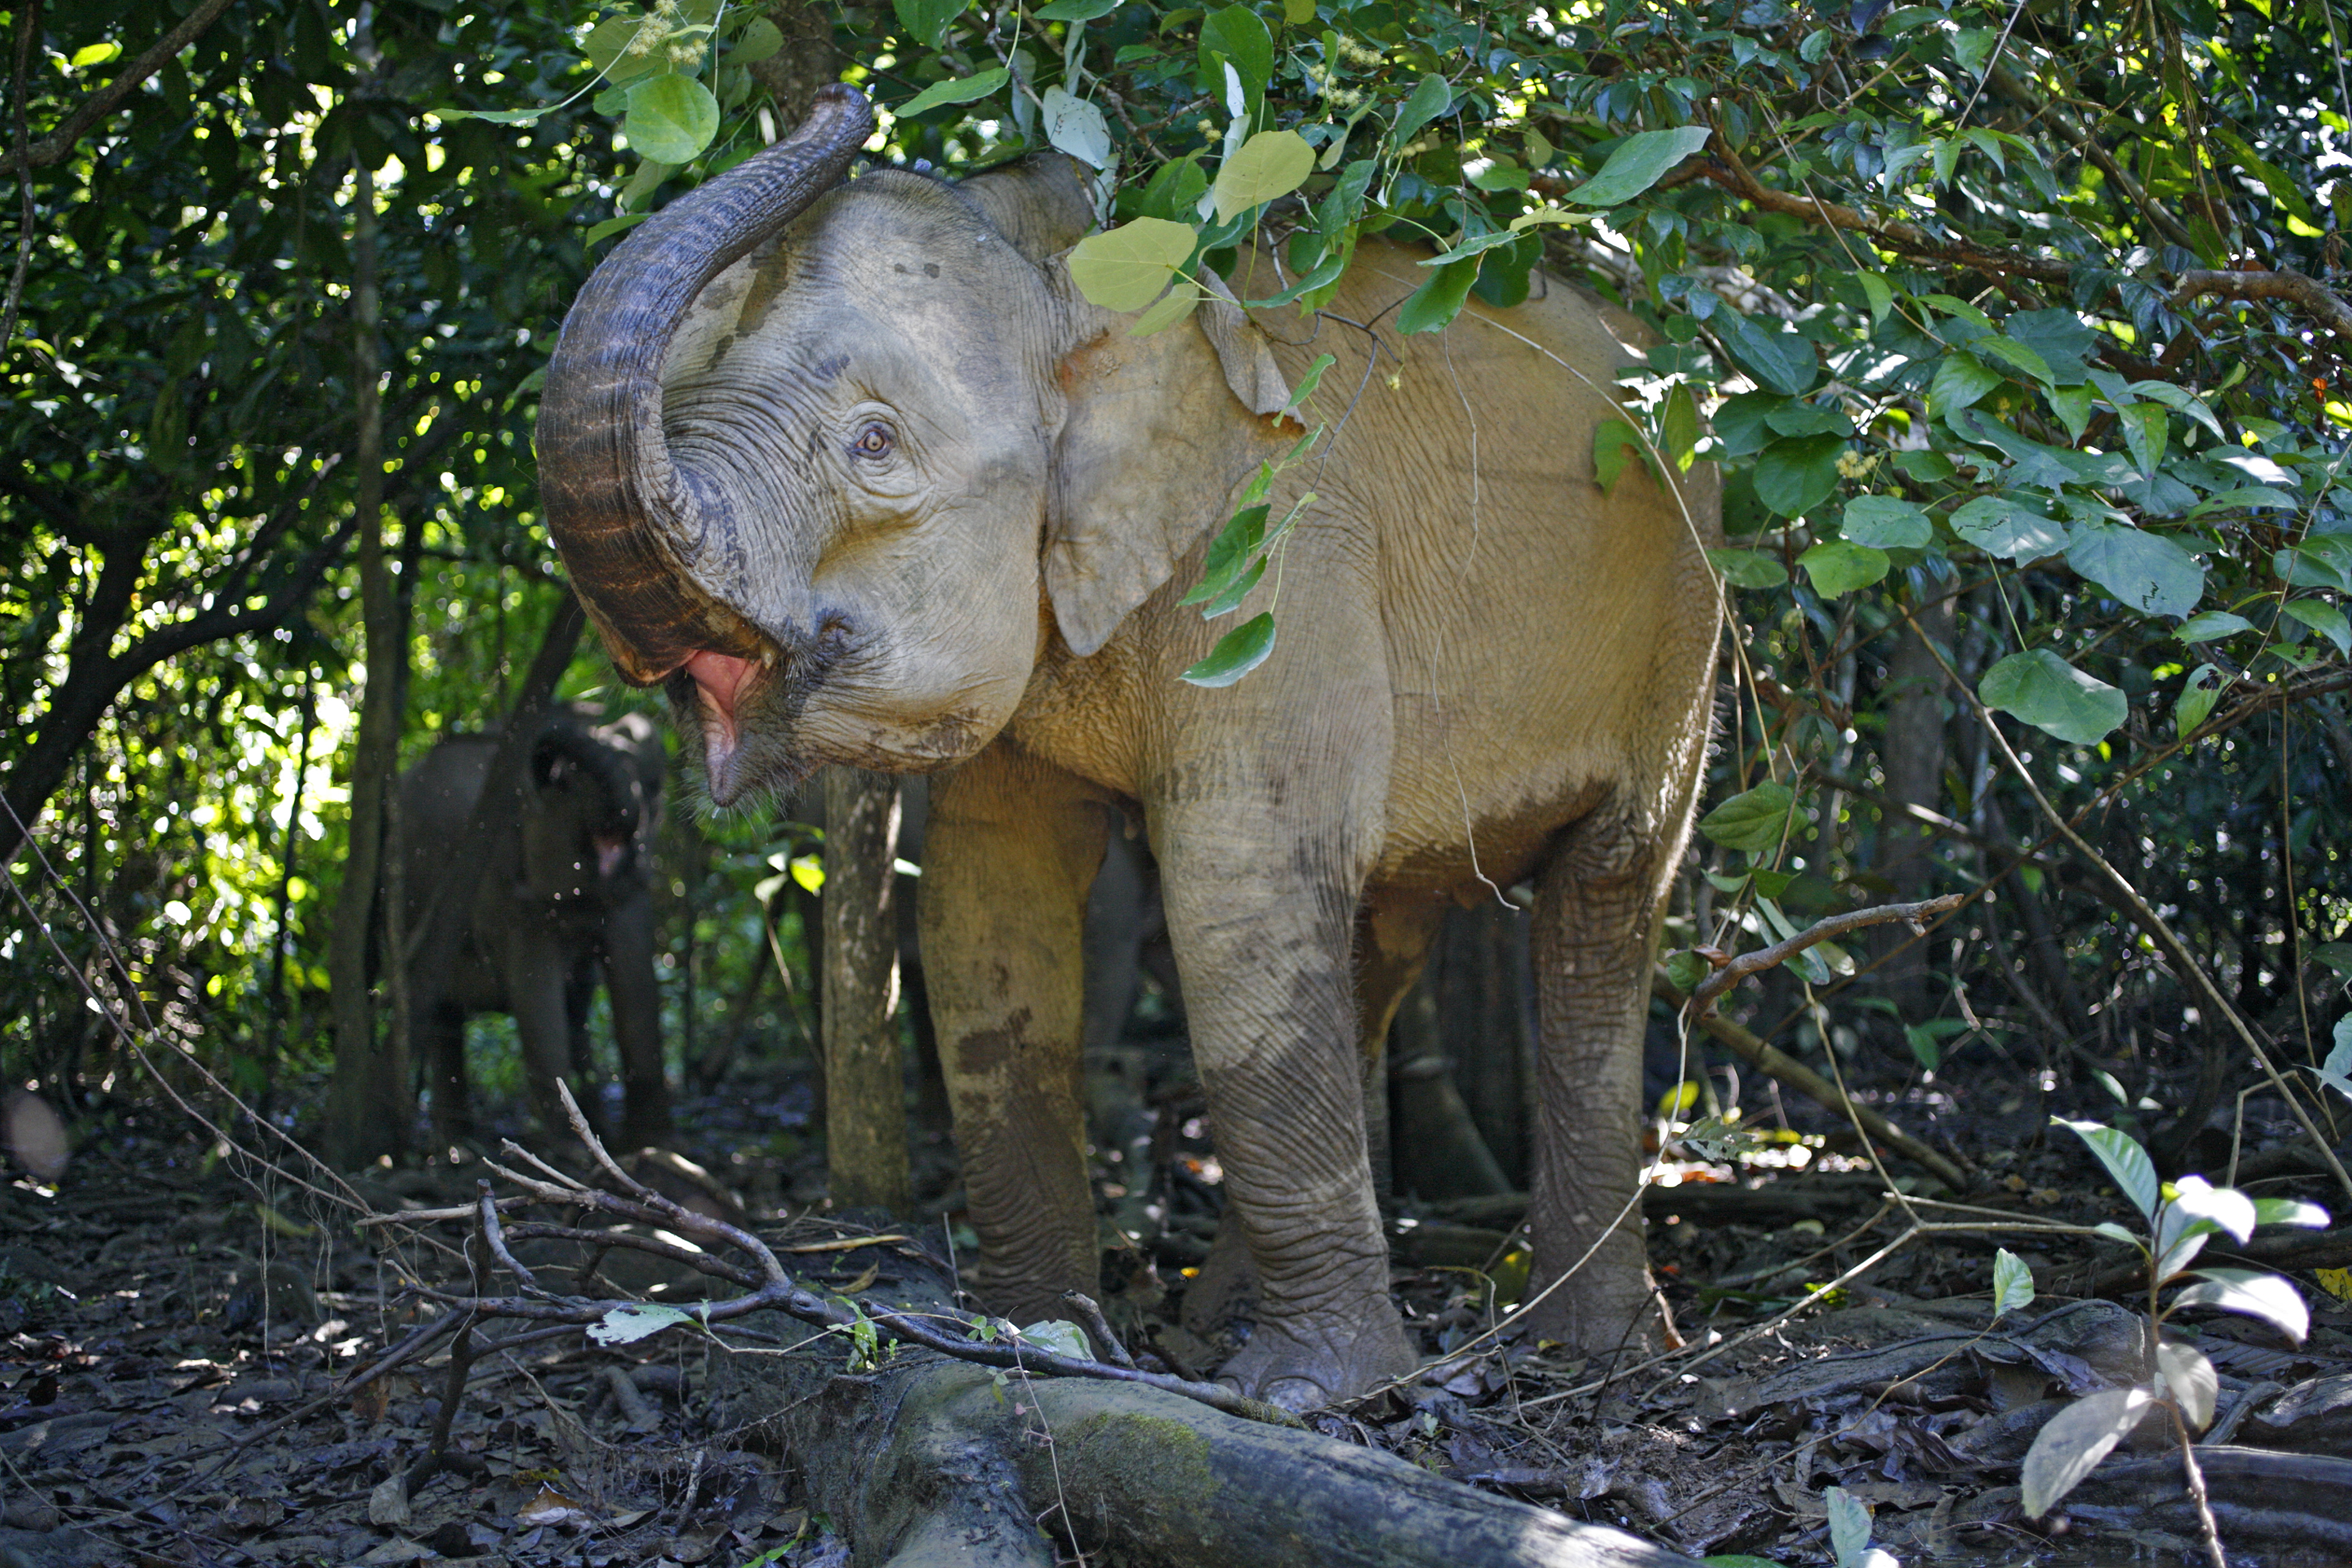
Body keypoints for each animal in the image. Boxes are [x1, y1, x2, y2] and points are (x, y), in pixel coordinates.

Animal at [398, 708, 673, 1148]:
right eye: (562, 783)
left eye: (653, 786)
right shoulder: (505, 890)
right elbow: (536, 995)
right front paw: (573, 1153)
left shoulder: (631, 890)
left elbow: (633, 981)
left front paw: (656, 1146)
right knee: (439, 1009)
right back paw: (459, 1147)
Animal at [536, 86, 1722, 1408]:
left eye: (874, 444)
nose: (847, 99)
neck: (1075, 270)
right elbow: (988, 904)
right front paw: (1033, 1333)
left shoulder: (1281, 553)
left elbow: (1235, 879)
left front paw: (1309, 1393)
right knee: (1382, 926)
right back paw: (1229, 1319)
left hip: (1684, 620)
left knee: (1604, 900)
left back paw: (1593, 1348)